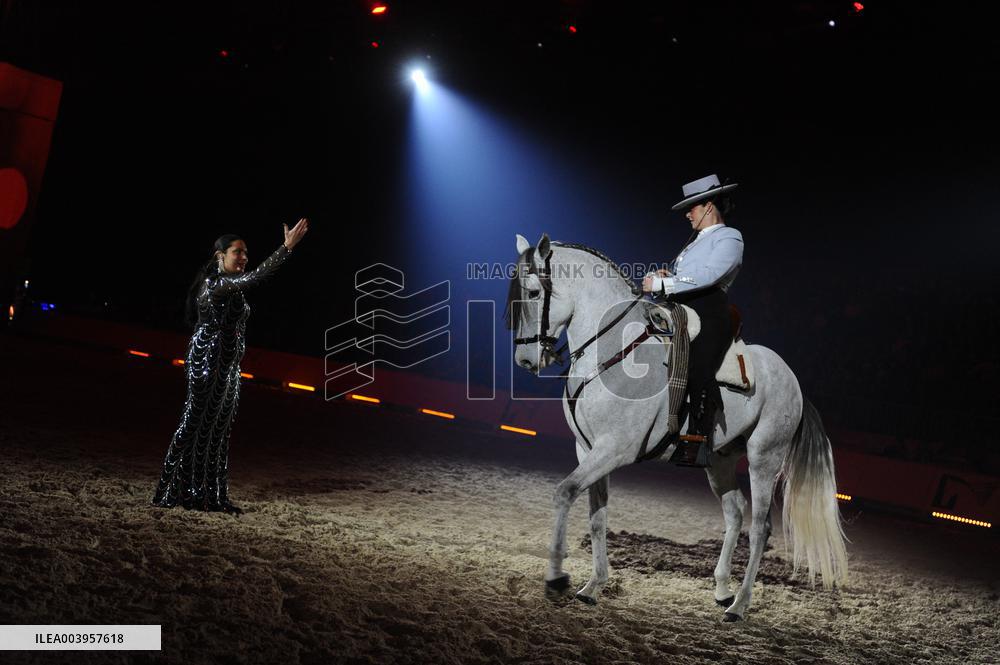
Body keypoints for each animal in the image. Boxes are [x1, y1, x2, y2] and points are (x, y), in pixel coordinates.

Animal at [505, 232, 847, 621]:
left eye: (534, 293)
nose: (526, 360)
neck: (612, 350)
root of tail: (795, 383)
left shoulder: (614, 448)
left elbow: (564, 492)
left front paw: (556, 578)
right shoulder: (588, 449)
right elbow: (597, 515)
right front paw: (593, 586)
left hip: (765, 458)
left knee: (761, 527)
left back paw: (739, 606)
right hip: (720, 460)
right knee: (735, 512)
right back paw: (722, 590)